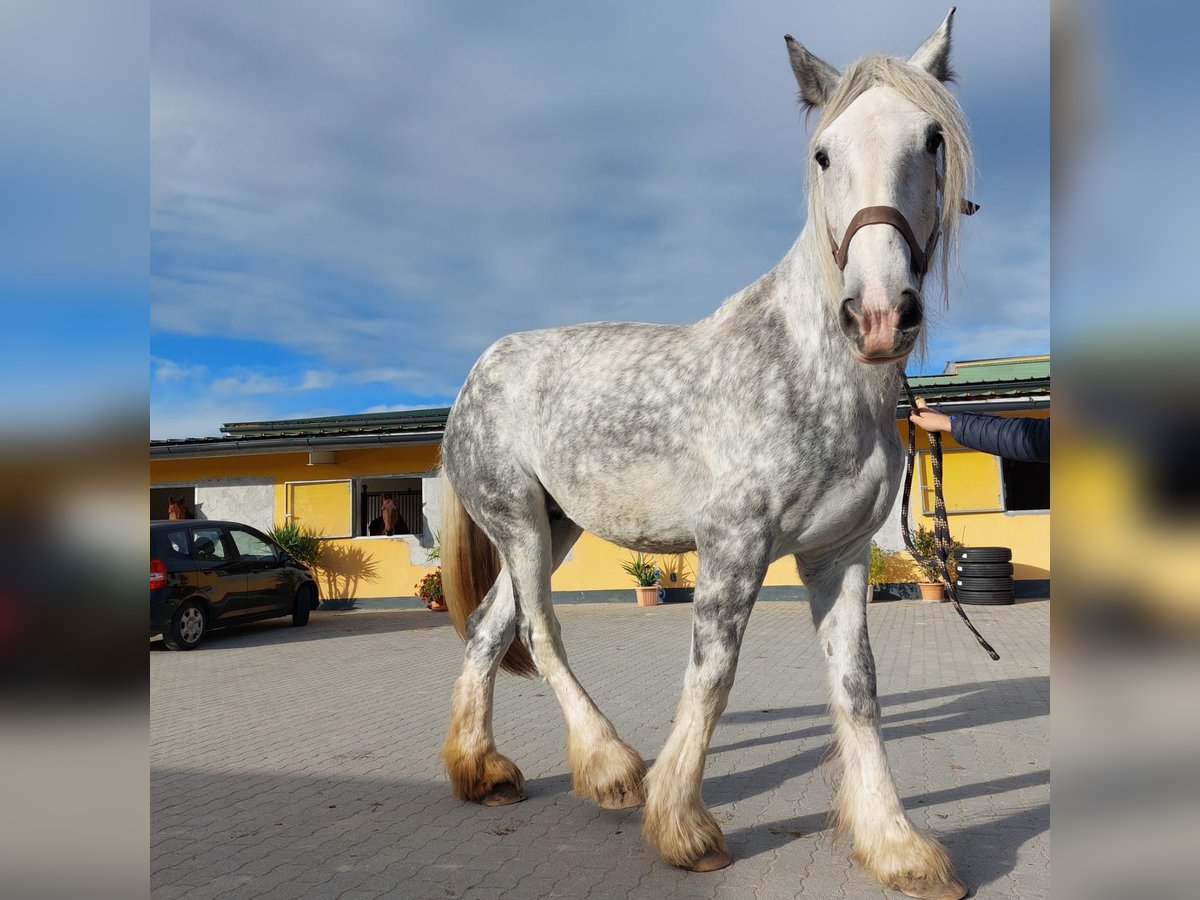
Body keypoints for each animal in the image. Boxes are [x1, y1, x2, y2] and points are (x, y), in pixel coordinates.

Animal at [438, 11, 973, 899]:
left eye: (931, 139)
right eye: (823, 153)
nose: (877, 314)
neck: (809, 369)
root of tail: (477, 374)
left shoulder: (840, 556)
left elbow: (858, 690)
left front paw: (896, 846)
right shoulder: (732, 548)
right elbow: (713, 675)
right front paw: (682, 827)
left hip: (552, 529)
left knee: (487, 630)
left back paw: (482, 772)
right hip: (517, 525)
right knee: (541, 633)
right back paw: (611, 768)